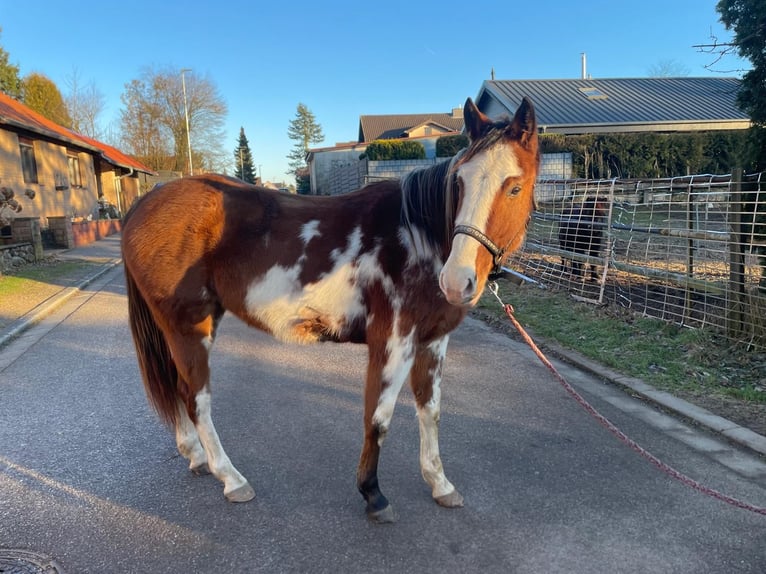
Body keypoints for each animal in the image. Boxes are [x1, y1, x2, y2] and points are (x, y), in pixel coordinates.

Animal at [121, 97, 540, 524]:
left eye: (515, 186)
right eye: (459, 183)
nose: (457, 281)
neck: (416, 236)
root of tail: (146, 201)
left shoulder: (432, 341)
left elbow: (430, 411)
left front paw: (440, 484)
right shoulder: (393, 342)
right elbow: (378, 418)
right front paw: (373, 493)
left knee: (179, 388)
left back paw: (195, 456)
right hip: (190, 326)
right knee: (196, 398)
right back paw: (231, 479)